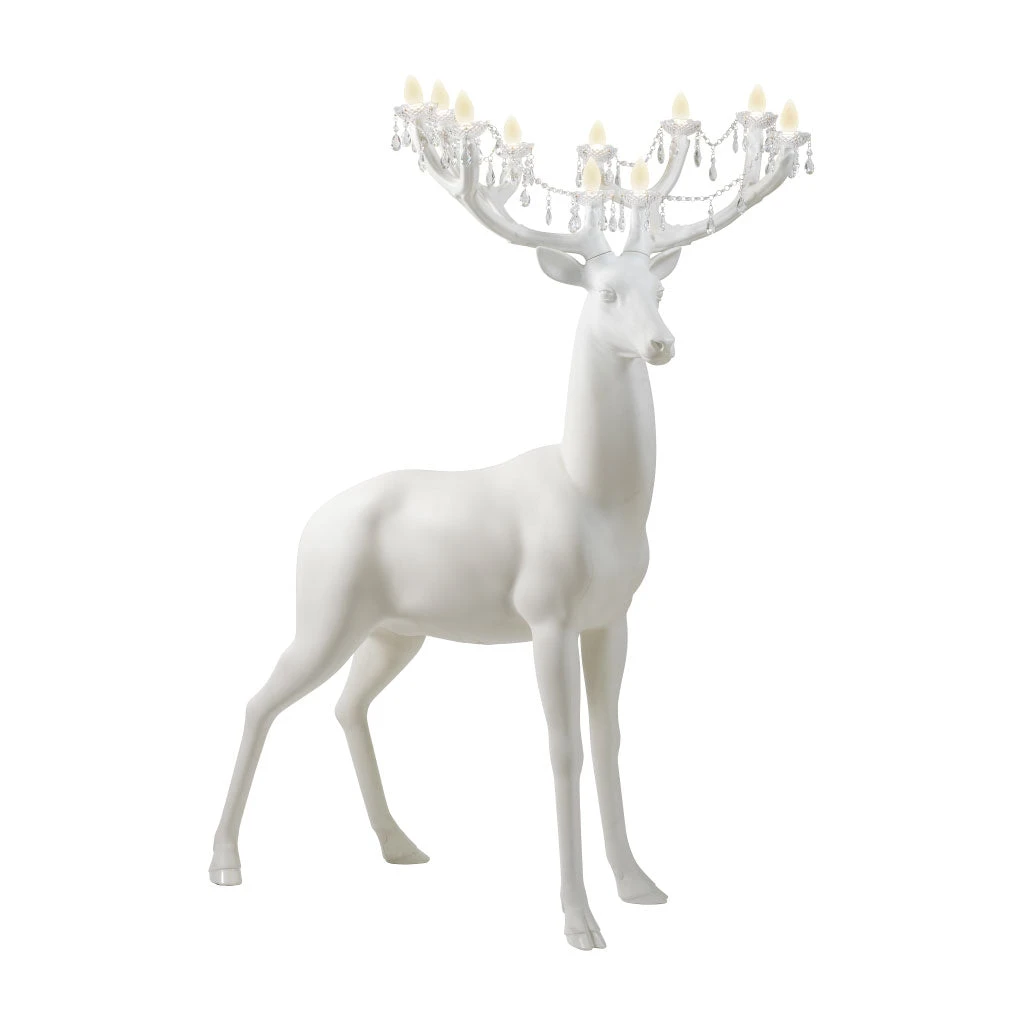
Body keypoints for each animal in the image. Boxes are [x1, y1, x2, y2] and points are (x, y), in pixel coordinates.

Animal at [209, 108, 797, 950]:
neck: (597, 498)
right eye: (606, 293)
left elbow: (611, 738)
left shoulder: (613, 617)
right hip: (323, 612)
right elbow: (563, 748)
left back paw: (400, 843)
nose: (662, 344)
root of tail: (306, 526)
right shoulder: (545, 614)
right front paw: (579, 920)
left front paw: (639, 884)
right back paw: (225, 861)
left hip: (395, 630)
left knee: (347, 705)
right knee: (260, 700)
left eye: (659, 288)